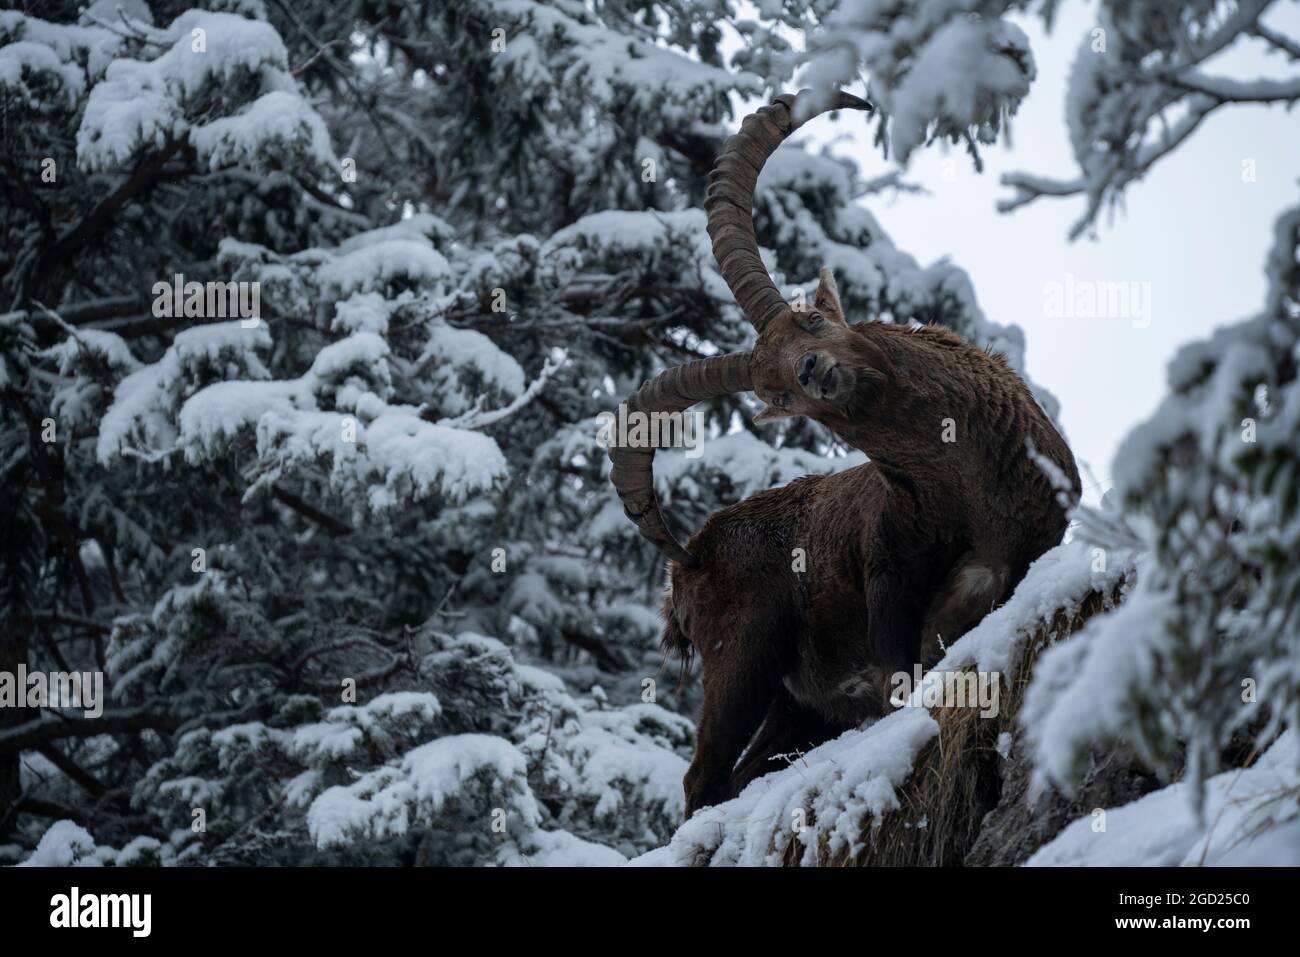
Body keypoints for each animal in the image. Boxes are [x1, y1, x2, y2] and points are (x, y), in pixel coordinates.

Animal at [608, 91, 1080, 816]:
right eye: (774, 388)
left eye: (813, 319)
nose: (813, 369)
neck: (967, 488)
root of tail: (684, 566)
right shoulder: (893, 597)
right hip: (744, 655)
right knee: (704, 779)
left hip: (799, 710)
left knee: (741, 775)